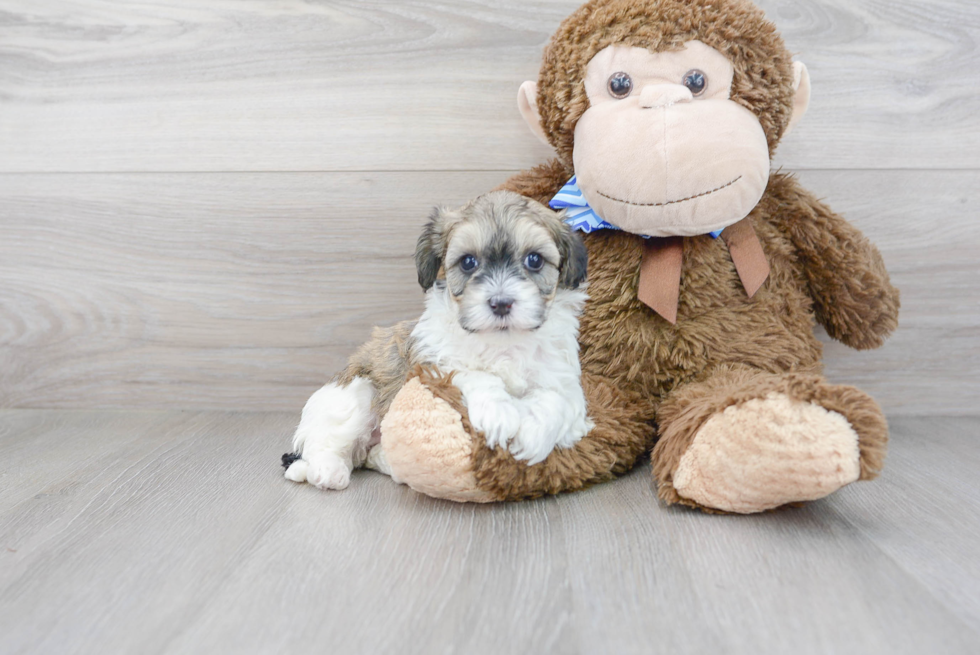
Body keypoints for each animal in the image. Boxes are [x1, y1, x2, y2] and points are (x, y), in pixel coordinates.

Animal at [282, 188, 588, 486]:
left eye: (534, 260)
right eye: (468, 262)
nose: (501, 303)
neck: (504, 342)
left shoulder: (564, 381)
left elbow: (557, 399)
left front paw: (535, 434)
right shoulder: (432, 365)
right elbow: (474, 375)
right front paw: (498, 414)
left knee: (369, 454)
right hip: (356, 392)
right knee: (327, 441)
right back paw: (327, 471)